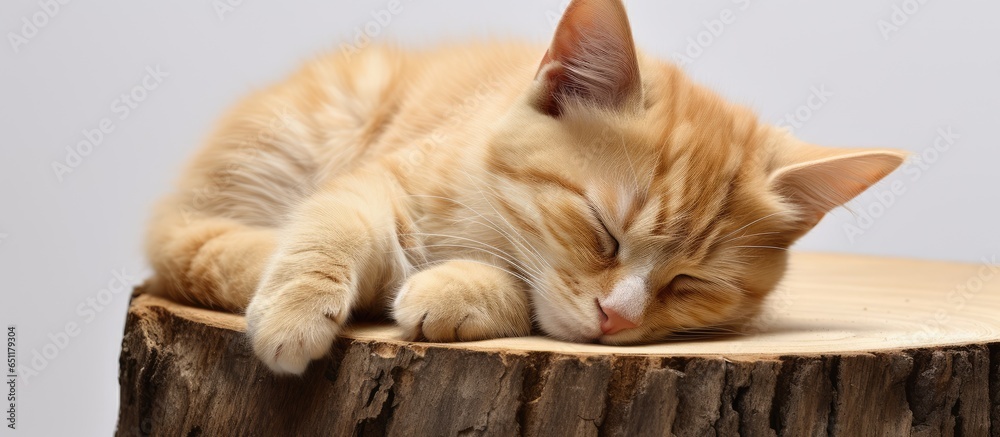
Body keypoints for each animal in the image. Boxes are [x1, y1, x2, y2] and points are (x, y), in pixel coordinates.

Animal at [146, 0, 908, 374]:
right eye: (602, 230)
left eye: (693, 283)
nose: (617, 319)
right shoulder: (384, 177)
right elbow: (333, 224)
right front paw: (295, 310)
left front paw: (458, 290)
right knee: (183, 247)